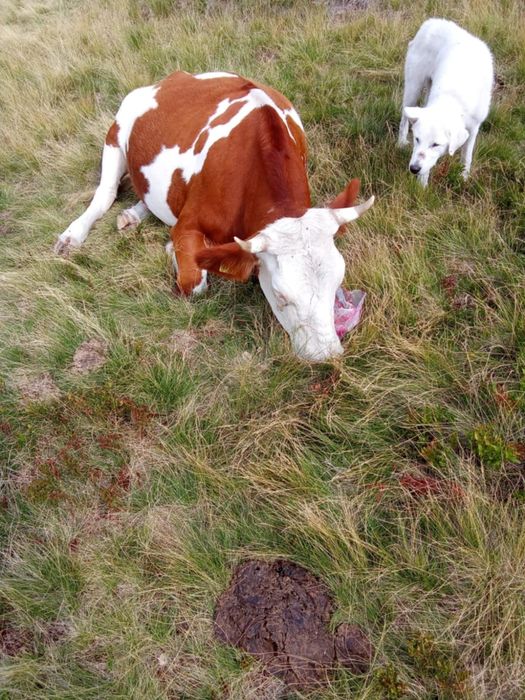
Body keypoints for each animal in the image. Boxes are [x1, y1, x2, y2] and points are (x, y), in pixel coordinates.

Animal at [55, 71, 374, 361]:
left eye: (337, 282)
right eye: (281, 295)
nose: (327, 355)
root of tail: (173, 78)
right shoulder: (188, 225)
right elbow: (194, 284)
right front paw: (176, 253)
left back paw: (132, 215)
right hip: (115, 133)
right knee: (106, 192)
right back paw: (72, 236)